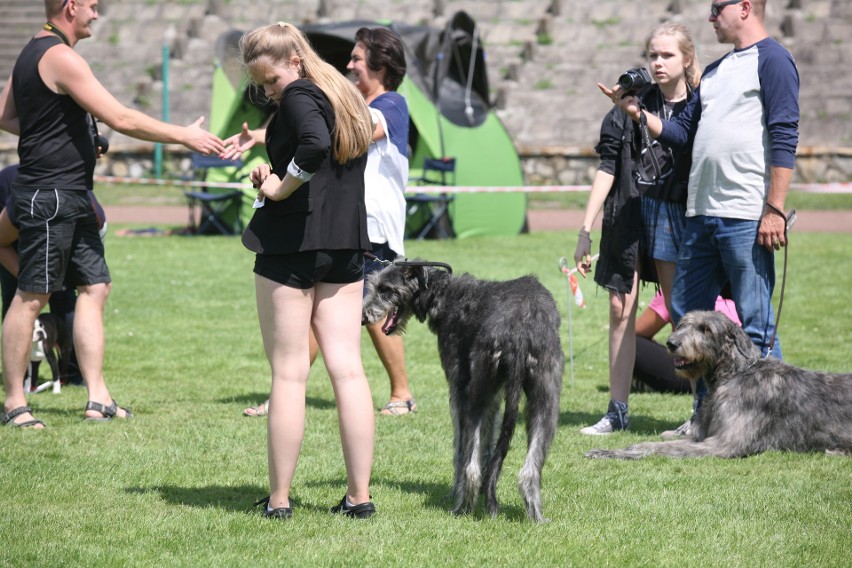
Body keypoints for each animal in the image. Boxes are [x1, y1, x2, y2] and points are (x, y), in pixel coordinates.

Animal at [362, 262, 564, 524]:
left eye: (385, 289)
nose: (363, 317)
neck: (444, 295)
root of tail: (519, 331)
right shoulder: (494, 397)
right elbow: (488, 443)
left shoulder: (458, 390)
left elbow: (460, 449)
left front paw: (454, 491)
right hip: (545, 397)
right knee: (528, 472)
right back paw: (535, 516)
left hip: (477, 394)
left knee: (471, 468)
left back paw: (462, 507)